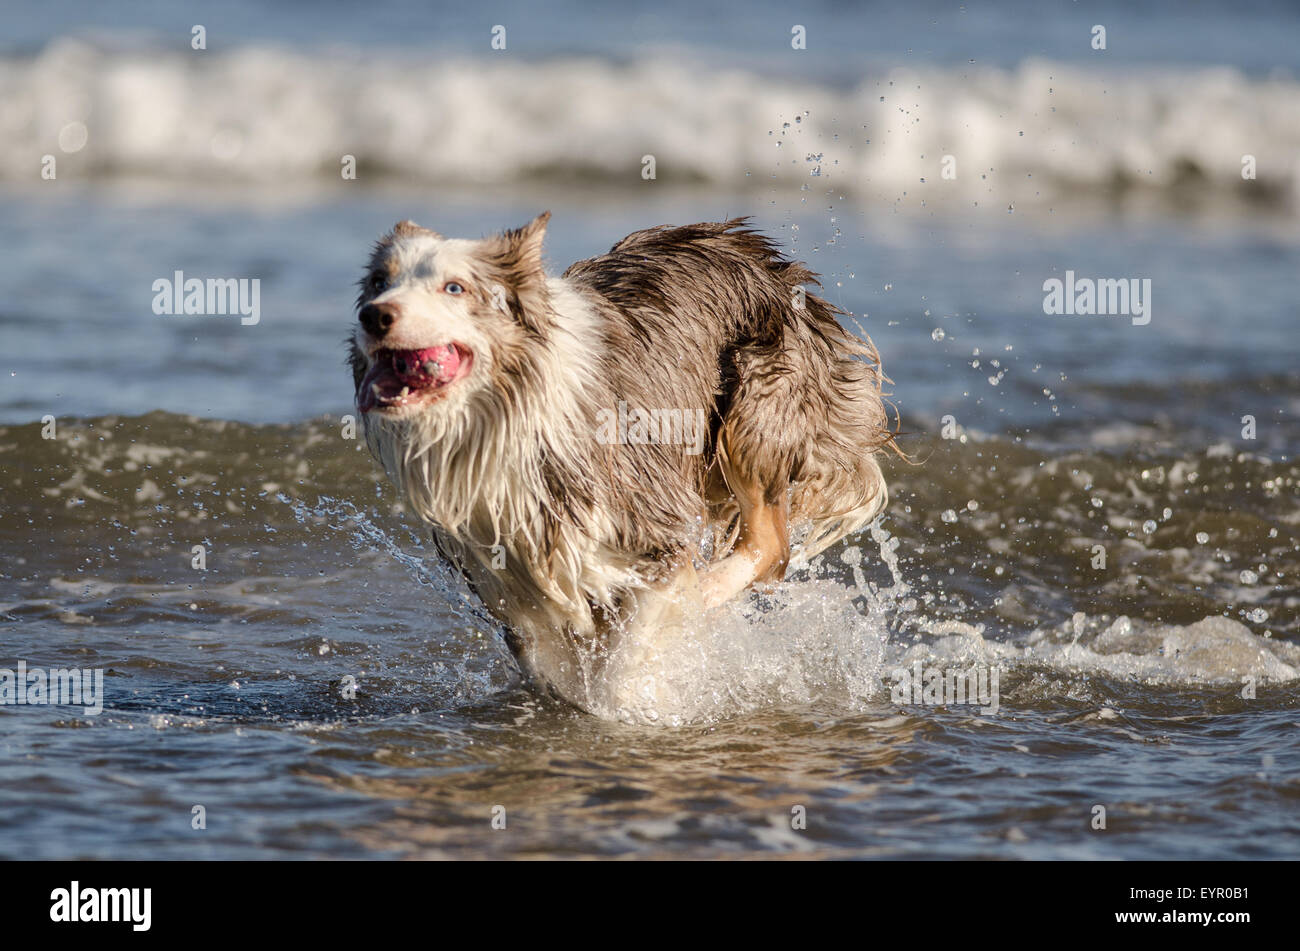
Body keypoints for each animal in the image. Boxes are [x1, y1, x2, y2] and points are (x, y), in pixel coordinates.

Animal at [345, 215, 899, 711]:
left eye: (454, 287)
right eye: (378, 282)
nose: (374, 316)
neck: (503, 416)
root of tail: (774, 263)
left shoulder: (650, 525)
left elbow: (624, 661)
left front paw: (629, 704)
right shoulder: (506, 576)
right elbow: (552, 660)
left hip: (753, 409)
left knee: (769, 547)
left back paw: (703, 596)